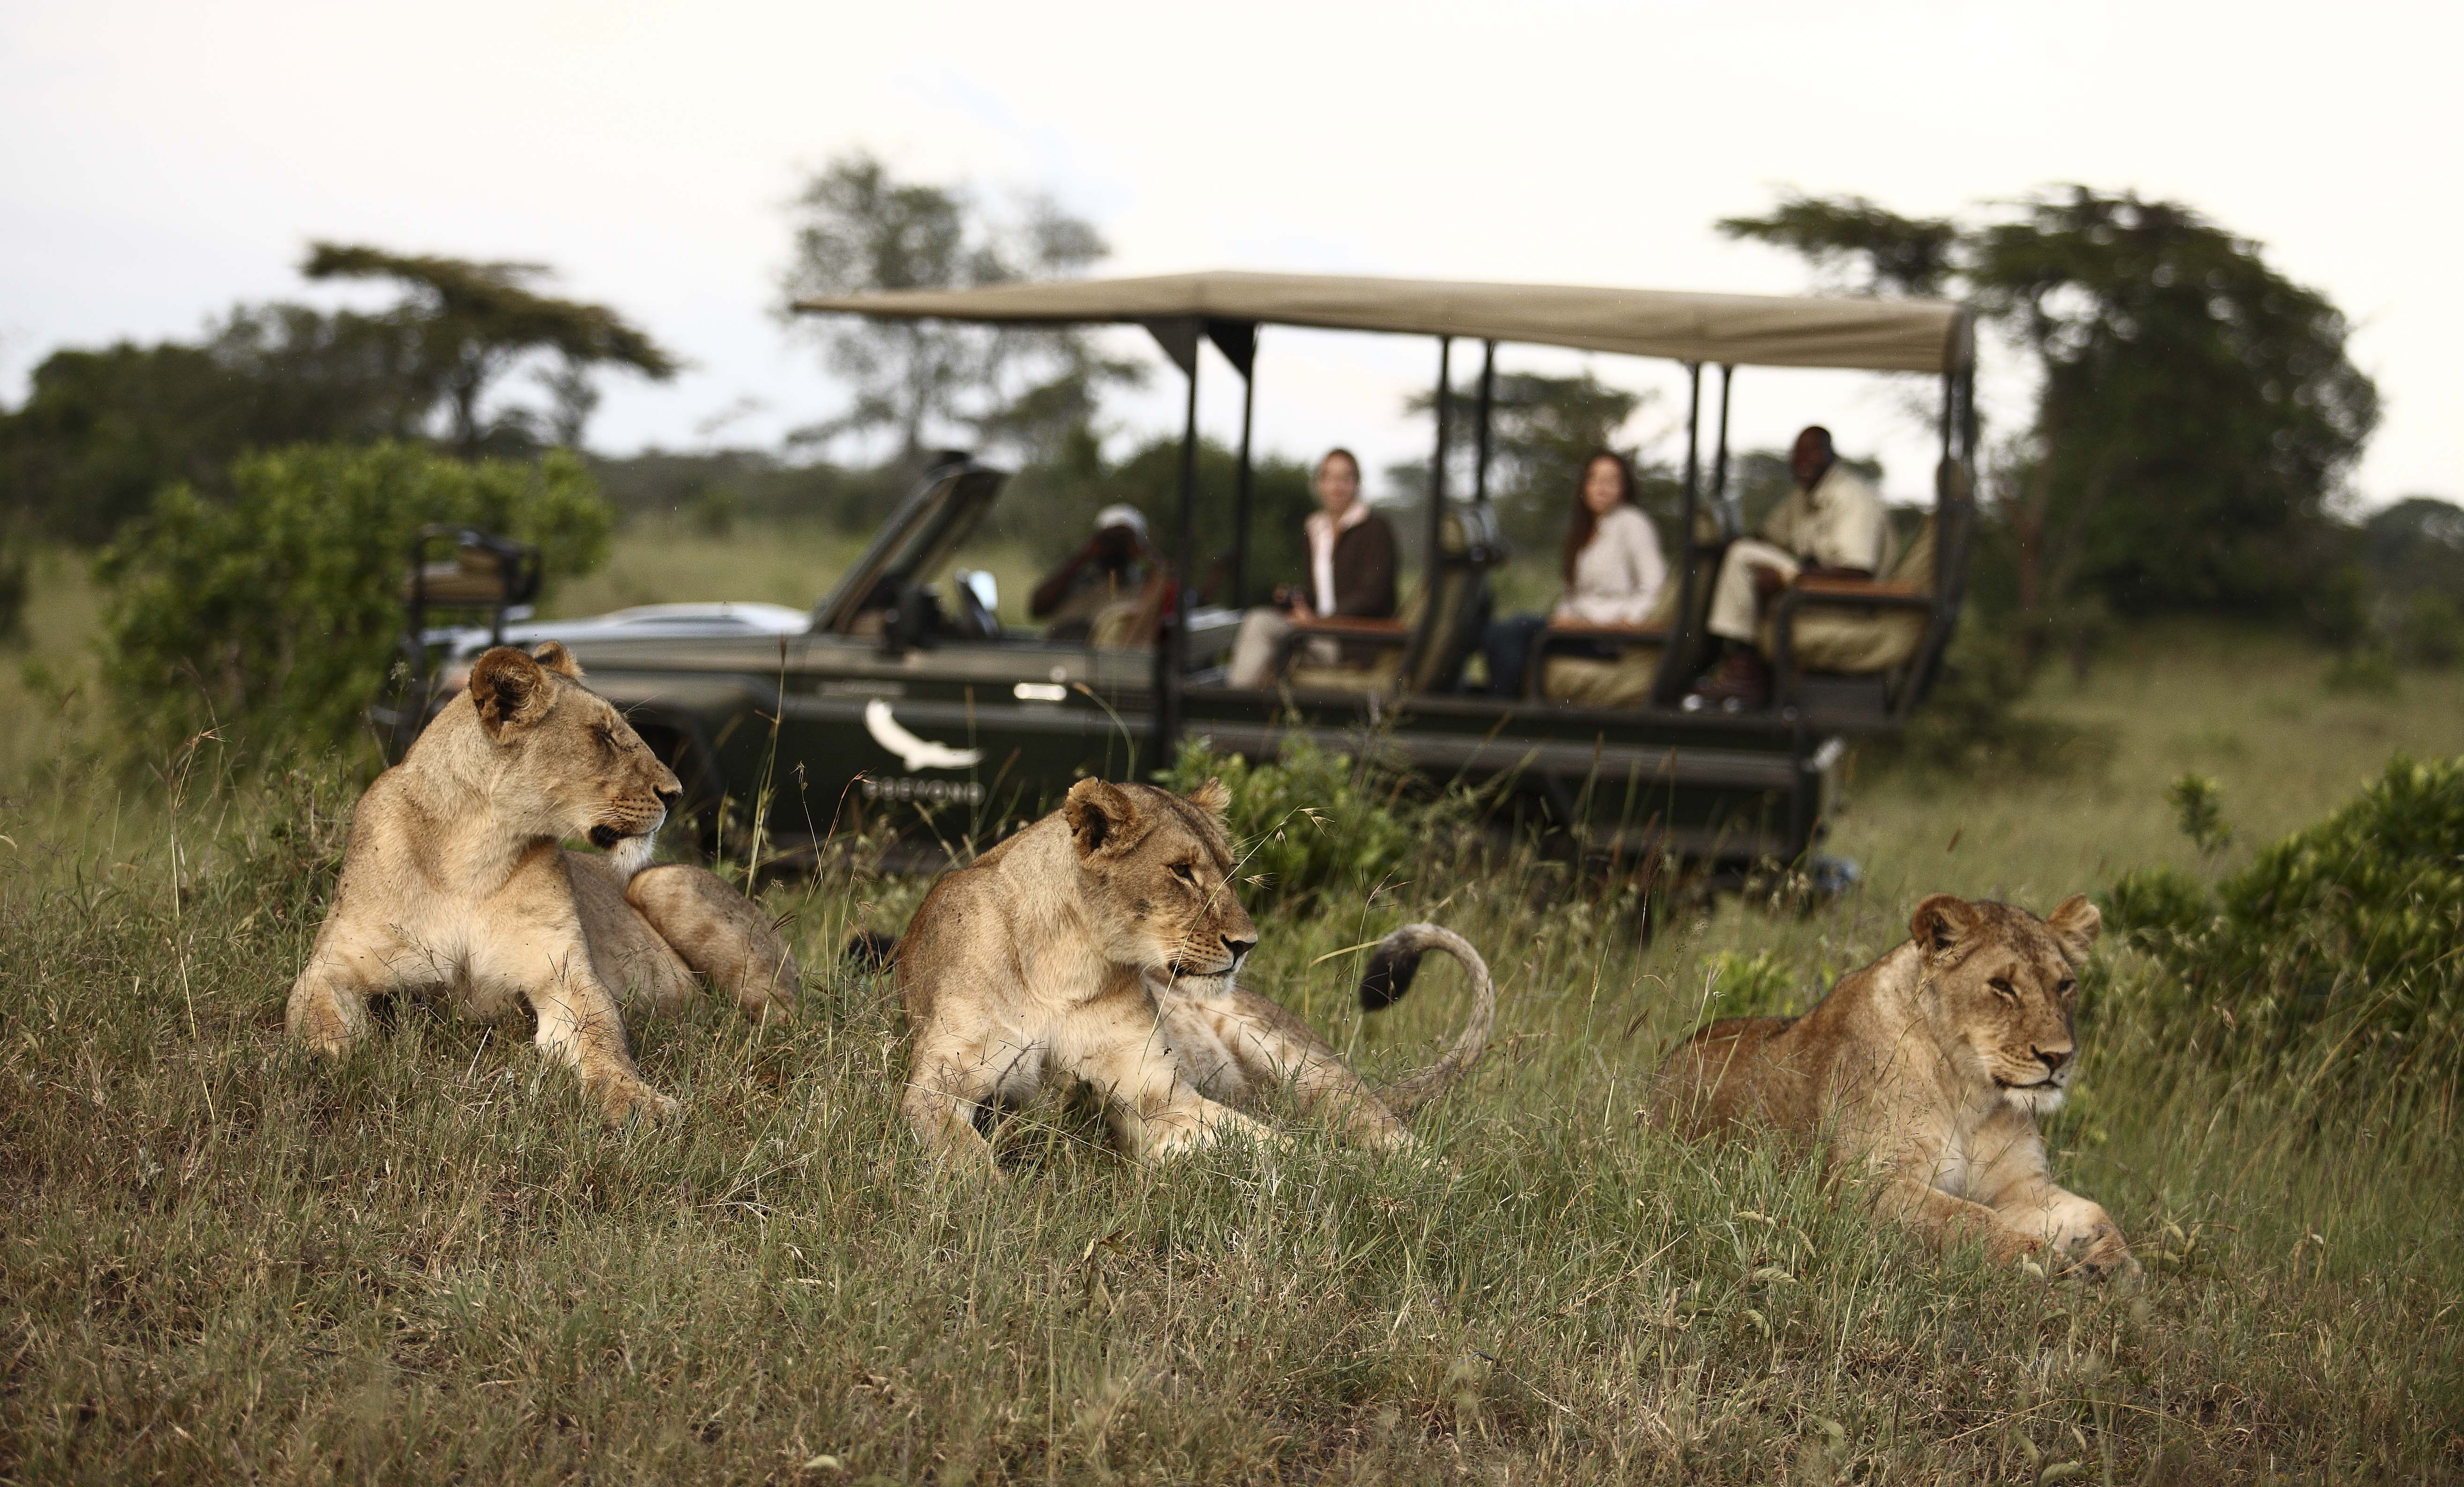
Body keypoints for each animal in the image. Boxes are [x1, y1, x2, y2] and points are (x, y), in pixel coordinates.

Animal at [285, 642, 800, 1122]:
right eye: (603, 736)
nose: (674, 793)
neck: (472, 855)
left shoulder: (564, 977)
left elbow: (603, 1041)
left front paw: (636, 1102)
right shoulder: (334, 963)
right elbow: (312, 1016)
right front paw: (328, 1064)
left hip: (664, 884)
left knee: (790, 1020)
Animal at [889, 777, 1495, 1170]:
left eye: (1228, 870)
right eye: (1182, 872)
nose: (1246, 944)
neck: (1068, 967)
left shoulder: (1159, 1095)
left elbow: (1280, 1147)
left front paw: (1345, 1176)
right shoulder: (938, 1083)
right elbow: (964, 1156)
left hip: (1304, 1066)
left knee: (1394, 1139)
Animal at [1646, 893, 2136, 1281]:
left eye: (2065, 984)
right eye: (2001, 986)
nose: (2059, 1057)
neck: (1971, 1093)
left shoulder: (2021, 1187)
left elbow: (2094, 1213)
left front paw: (2116, 1263)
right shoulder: (1860, 1187)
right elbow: (1969, 1218)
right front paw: (2048, 1264)